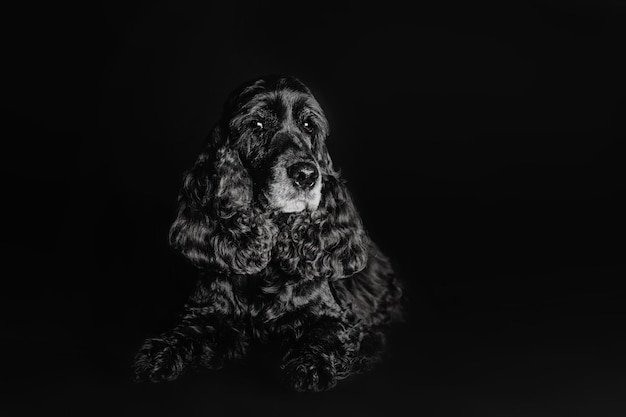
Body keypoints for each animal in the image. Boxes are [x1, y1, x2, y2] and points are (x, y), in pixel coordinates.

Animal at [133, 75, 402, 390]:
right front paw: (160, 355)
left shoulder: (334, 316)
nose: (306, 175)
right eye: (258, 125)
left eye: (308, 125)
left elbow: (324, 336)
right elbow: (186, 331)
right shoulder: (209, 310)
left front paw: (311, 366)